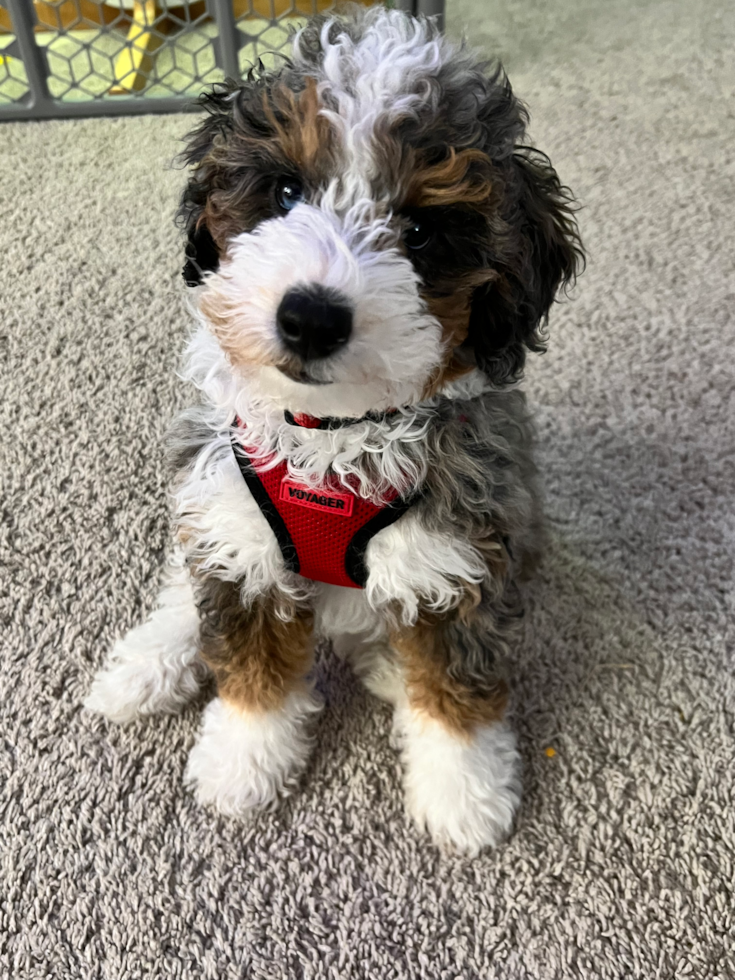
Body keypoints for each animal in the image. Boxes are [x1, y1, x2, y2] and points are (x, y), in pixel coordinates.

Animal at [85, 5, 580, 848]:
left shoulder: (459, 552)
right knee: (185, 587)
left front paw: (463, 792)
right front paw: (242, 762)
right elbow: (251, 663)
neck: (331, 436)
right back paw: (144, 668)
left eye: (420, 232)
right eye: (285, 191)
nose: (311, 316)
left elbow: (454, 678)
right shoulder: (243, 537)